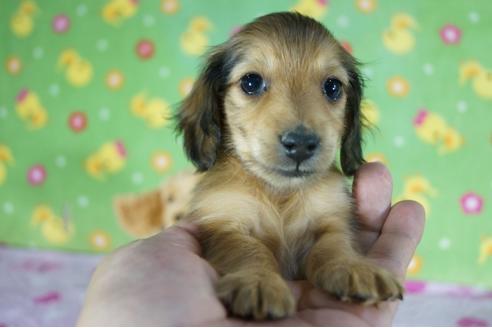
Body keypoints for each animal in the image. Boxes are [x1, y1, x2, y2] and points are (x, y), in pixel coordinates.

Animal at [177, 12, 404, 320]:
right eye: (251, 82)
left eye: (332, 87)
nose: (301, 144)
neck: (279, 192)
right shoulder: (225, 226)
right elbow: (249, 250)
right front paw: (259, 282)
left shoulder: (331, 218)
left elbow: (334, 245)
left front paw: (354, 268)